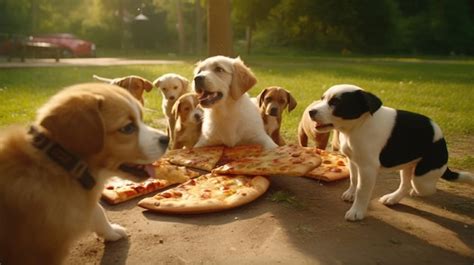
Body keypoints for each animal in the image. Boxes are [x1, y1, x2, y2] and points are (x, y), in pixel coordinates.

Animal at [310, 83, 472, 220]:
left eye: (335, 103)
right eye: (322, 99)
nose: (311, 111)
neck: (357, 127)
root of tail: (442, 141)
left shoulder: (367, 169)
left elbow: (362, 190)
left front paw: (357, 211)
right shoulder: (353, 161)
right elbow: (354, 179)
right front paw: (351, 193)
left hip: (423, 177)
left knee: (421, 187)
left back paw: (412, 192)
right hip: (408, 167)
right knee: (406, 184)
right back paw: (393, 198)